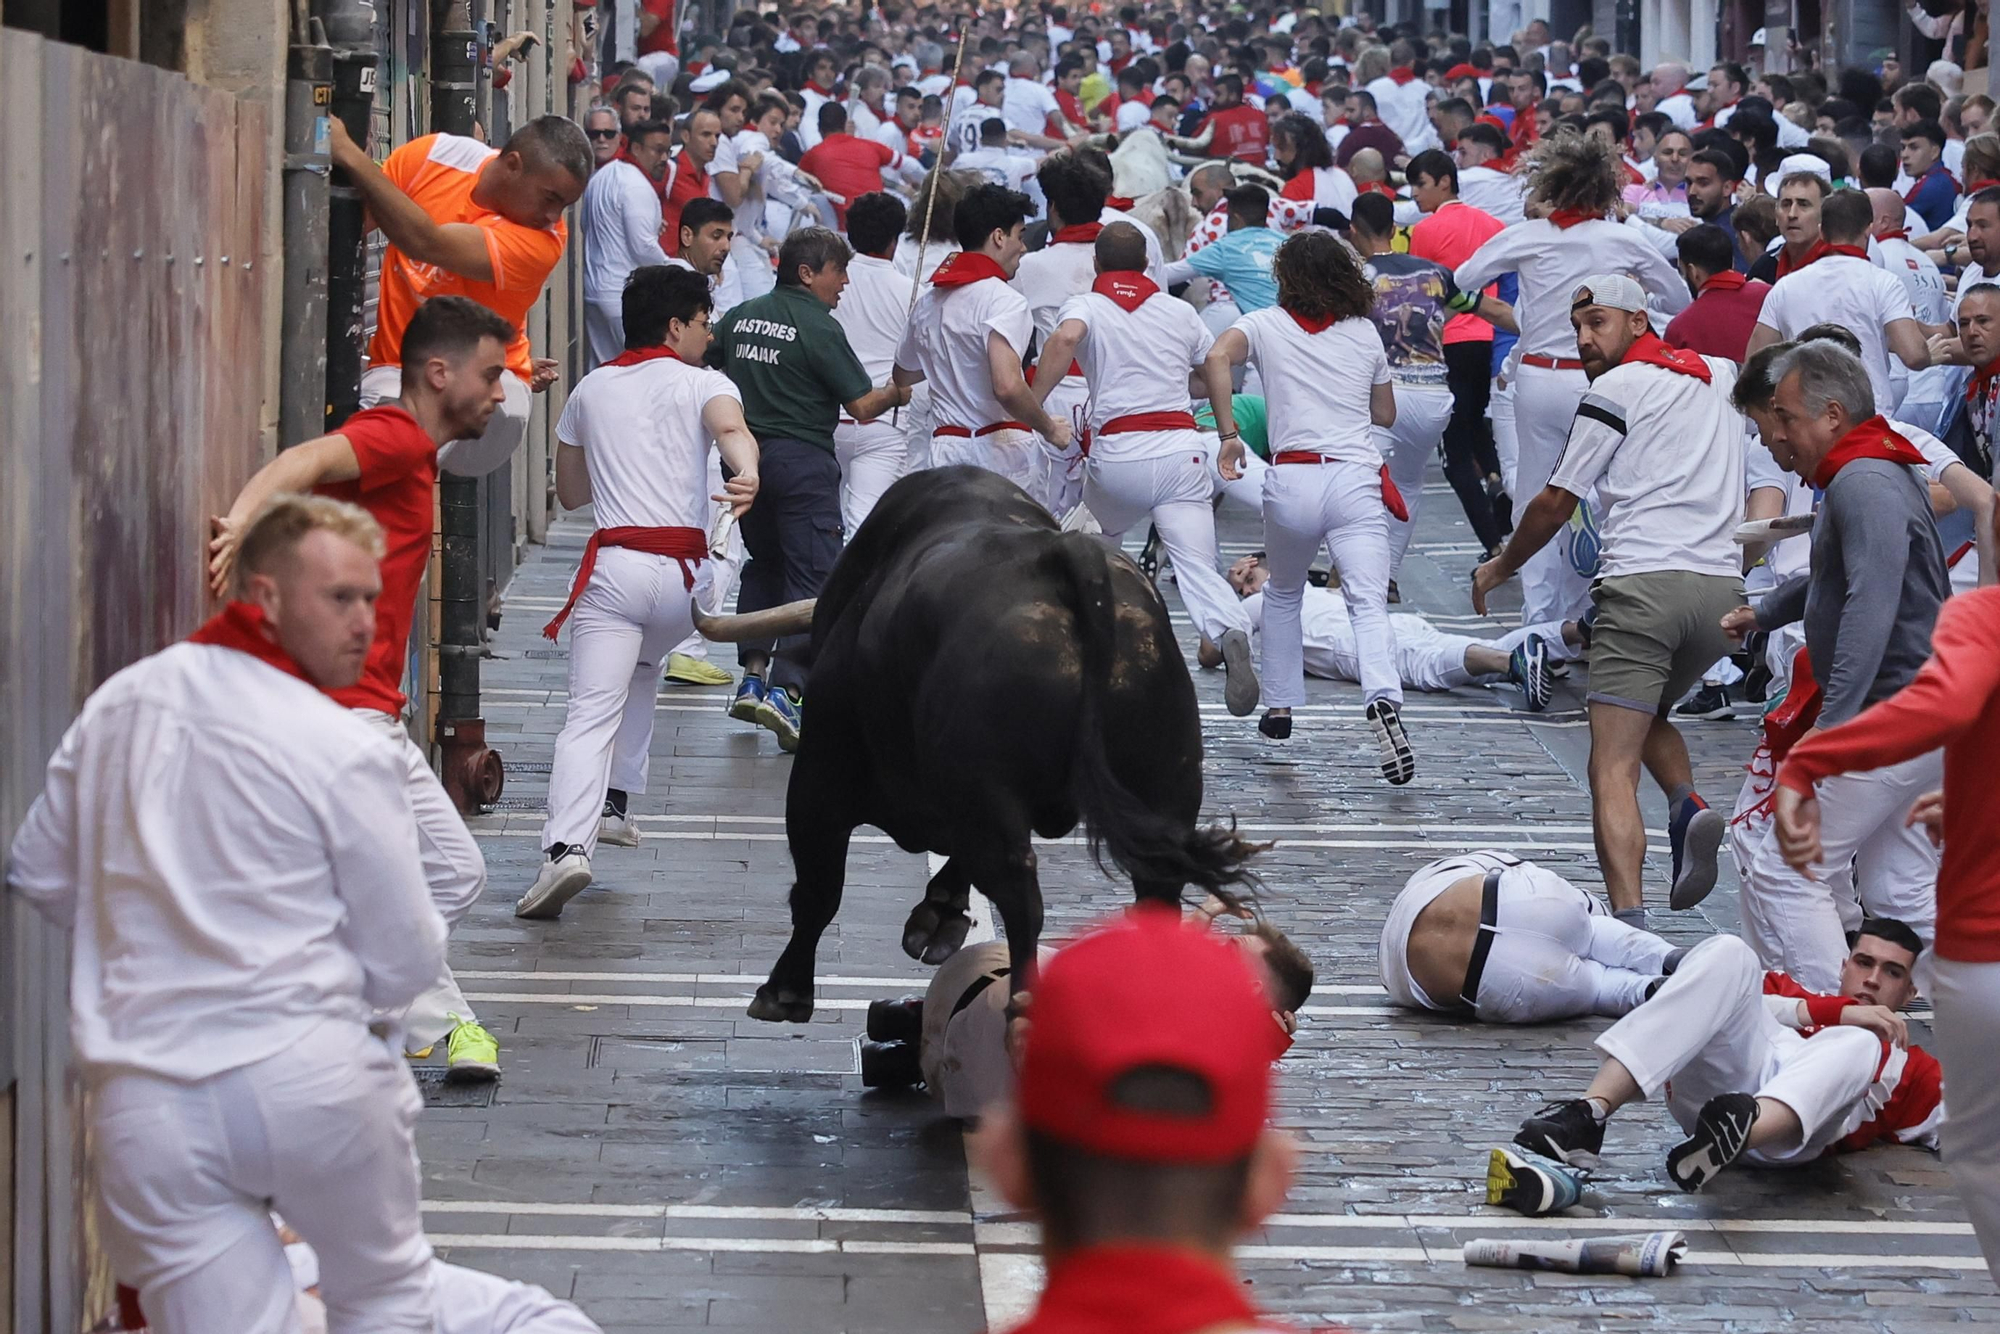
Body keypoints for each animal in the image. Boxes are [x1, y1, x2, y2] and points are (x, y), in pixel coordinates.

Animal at [700, 470, 1264, 1024]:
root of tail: (1070, 559)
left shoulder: (822, 778)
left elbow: (818, 892)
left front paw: (785, 991)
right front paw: (936, 920)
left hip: (976, 784)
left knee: (1021, 892)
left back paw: (1024, 1004)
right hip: (1164, 785)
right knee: (1154, 895)